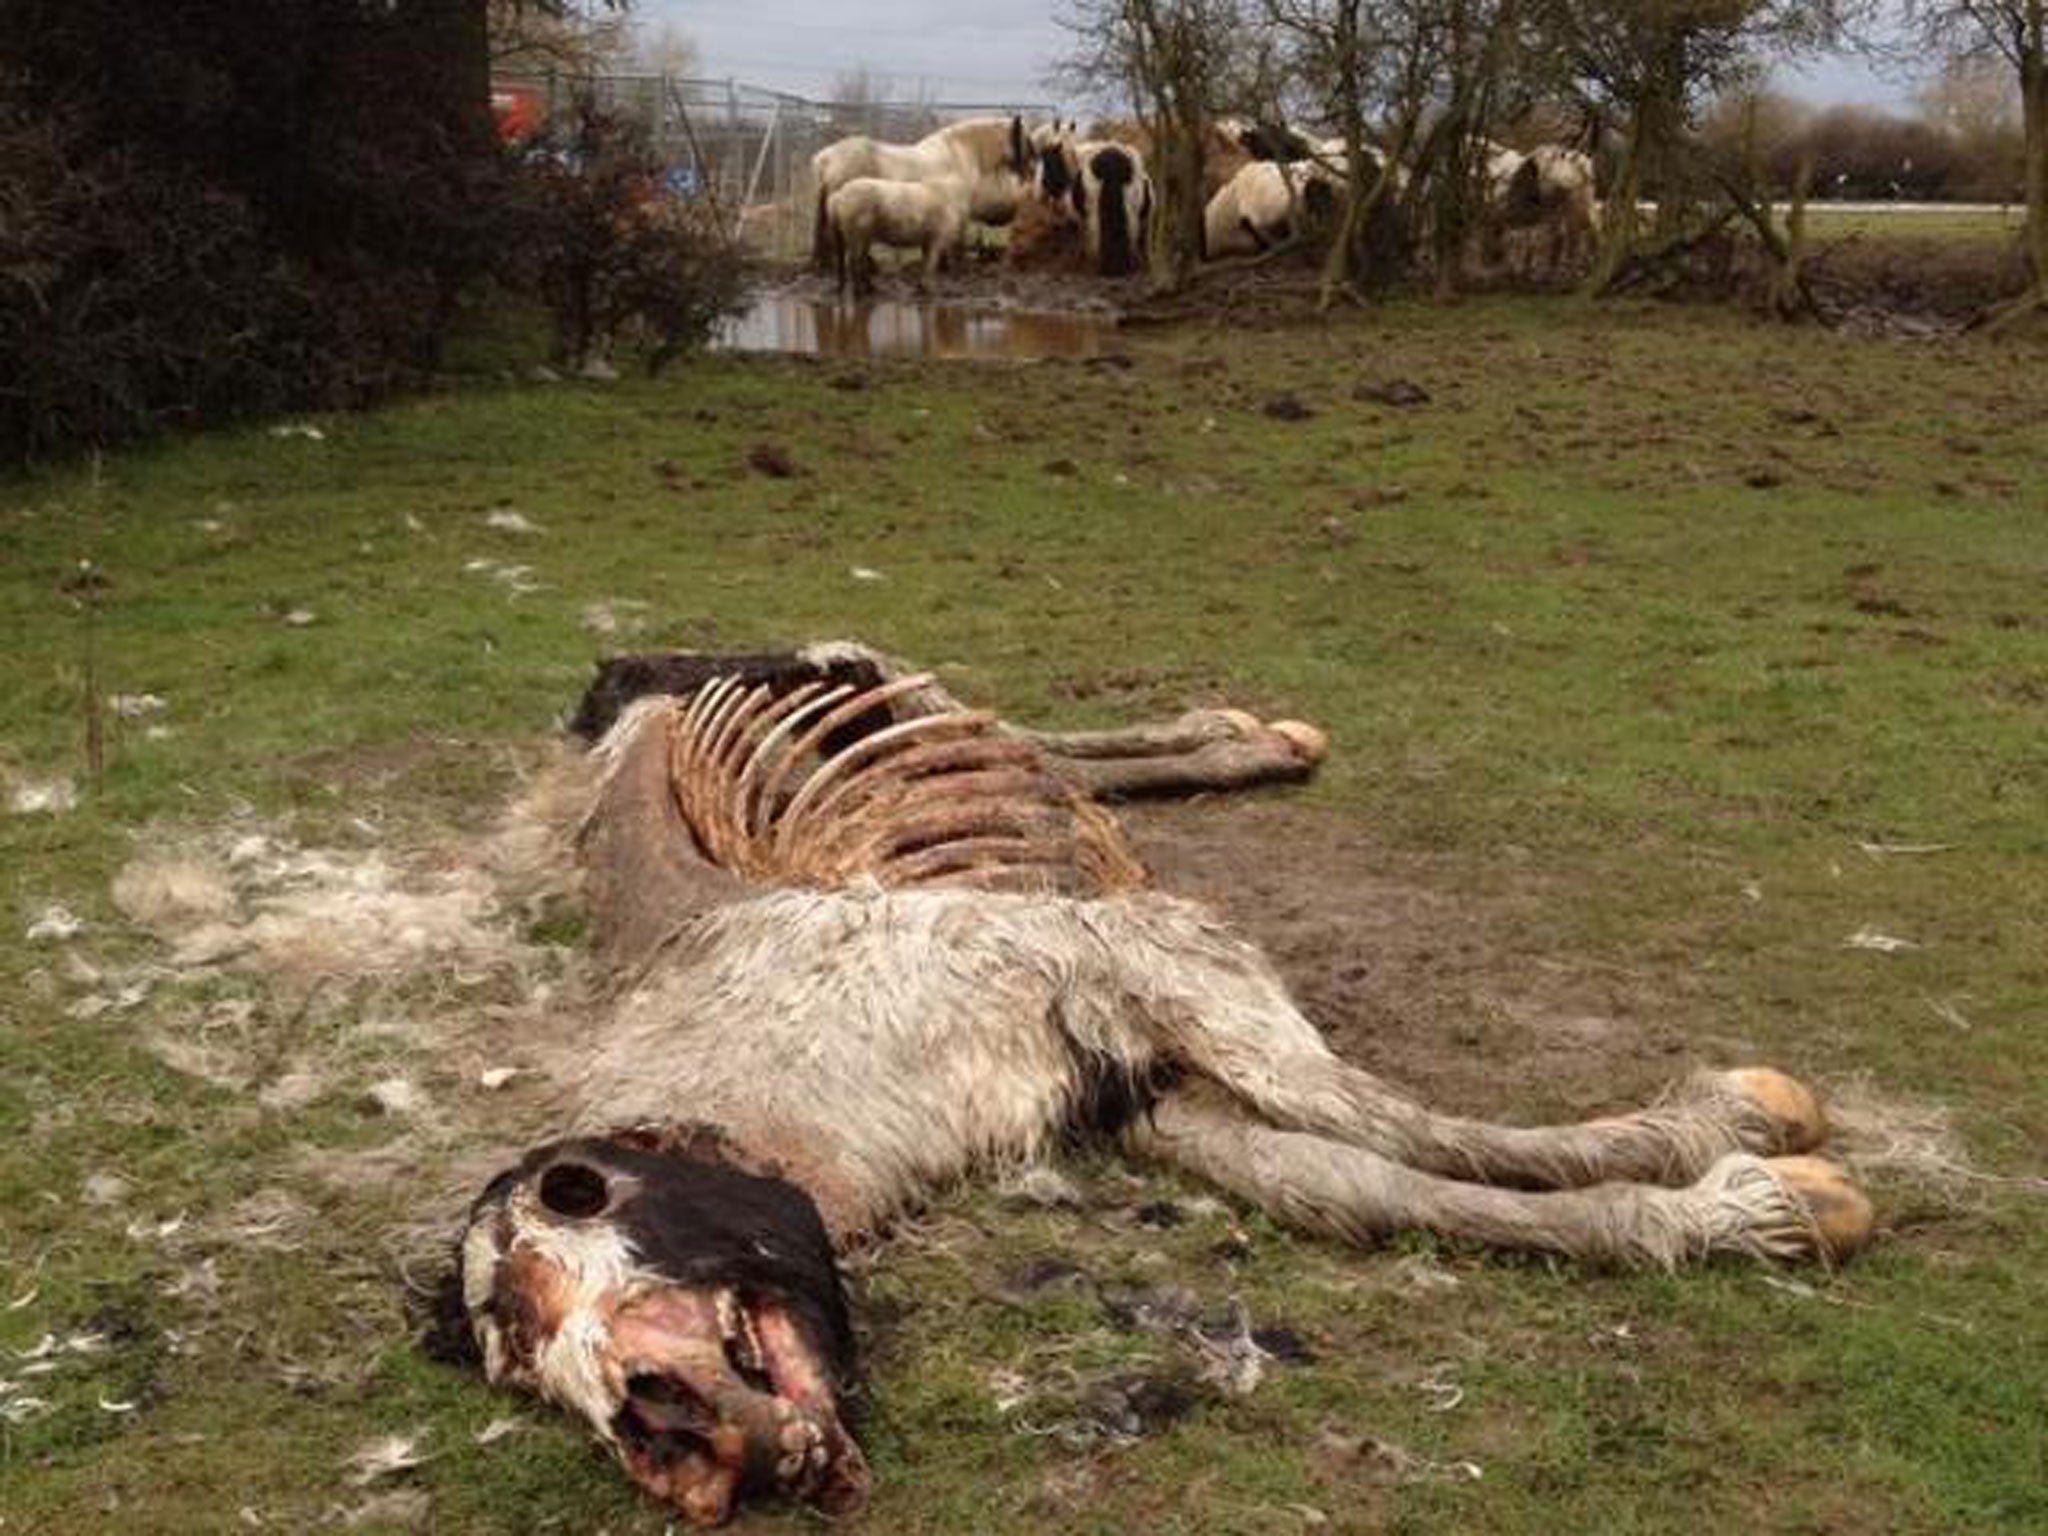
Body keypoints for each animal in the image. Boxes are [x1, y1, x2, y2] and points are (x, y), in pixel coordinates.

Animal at [448, 638, 1875, 1531]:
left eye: (573, 1201)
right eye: (510, 1358)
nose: (672, 1439)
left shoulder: (1145, 954)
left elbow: (1365, 1114)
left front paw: (1748, 1138)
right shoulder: (1131, 1092)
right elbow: (1351, 1182)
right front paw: (1761, 1204)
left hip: (866, 675)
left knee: (1000, 721)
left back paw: (1254, 734)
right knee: (1037, 752)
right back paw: (1247, 740)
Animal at [811, 115, 1040, 266]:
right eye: (1027, 155)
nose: (1010, 214)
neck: (961, 156)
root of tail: (826, 159)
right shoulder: (958, 215)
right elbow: (955, 246)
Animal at [823, 177, 966, 294]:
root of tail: (839, 195)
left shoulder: (927, 241)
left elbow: (926, 262)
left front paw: (921, 287)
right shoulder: (936, 239)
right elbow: (930, 264)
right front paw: (928, 289)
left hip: (849, 235)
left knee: (845, 259)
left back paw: (858, 287)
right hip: (857, 235)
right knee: (854, 261)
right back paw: (859, 291)